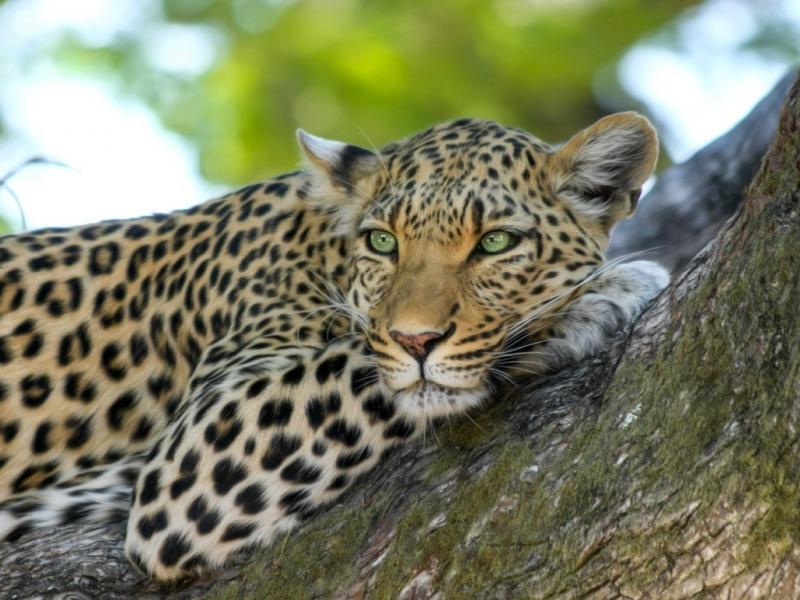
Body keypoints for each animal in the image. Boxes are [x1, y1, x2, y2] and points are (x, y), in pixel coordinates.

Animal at [0, 112, 669, 581]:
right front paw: (594, 297)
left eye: (497, 243)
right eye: (382, 241)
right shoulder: (193, 454)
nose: (416, 339)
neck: (322, 250)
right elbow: (363, 363)